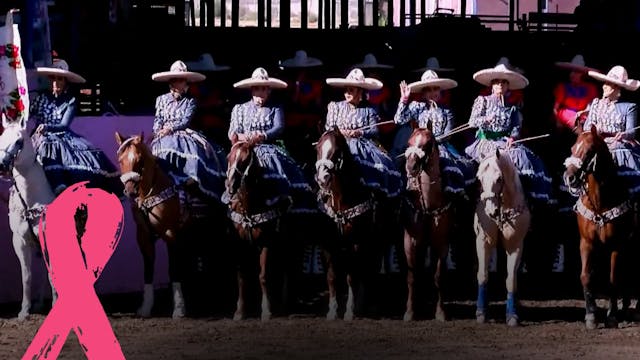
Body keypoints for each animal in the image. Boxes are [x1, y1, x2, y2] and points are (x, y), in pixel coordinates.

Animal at [0, 119, 57, 320]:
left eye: (19, 141)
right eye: (0, 138)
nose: (2, 166)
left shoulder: (49, 239)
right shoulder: (20, 241)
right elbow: (27, 275)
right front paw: (24, 310)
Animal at [312, 128, 382, 320]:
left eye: (337, 151)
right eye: (318, 148)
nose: (322, 178)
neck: (340, 201)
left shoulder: (355, 242)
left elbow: (352, 276)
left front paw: (350, 311)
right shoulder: (328, 243)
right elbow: (332, 276)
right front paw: (332, 311)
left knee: (368, 268)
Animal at [402, 126, 452, 320]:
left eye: (428, 143)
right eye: (409, 142)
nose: (411, 166)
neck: (430, 205)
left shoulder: (442, 243)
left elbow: (438, 276)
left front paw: (440, 312)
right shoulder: (410, 241)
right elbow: (411, 276)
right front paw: (410, 311)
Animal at [476, 146, 528, 326]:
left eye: (499, 178)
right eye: (479, 179)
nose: (490, 211)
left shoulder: (515, 245)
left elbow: (511, 280)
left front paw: (512, 315)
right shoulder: (483, 241)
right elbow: (483, 275)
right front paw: (481, 312)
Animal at [560, 126, 636, 330]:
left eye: (589, 151)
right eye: (572, 148)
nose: (569, 177)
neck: (600, 202)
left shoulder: (616, 245)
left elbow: (613, 279)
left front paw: (612, 316)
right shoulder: (587, 243)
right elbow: (586, 276)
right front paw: (591, 316)